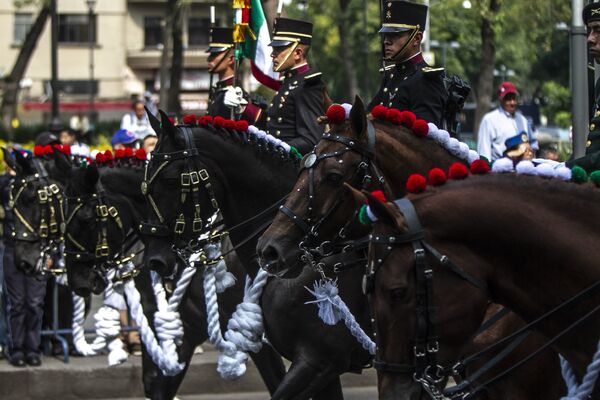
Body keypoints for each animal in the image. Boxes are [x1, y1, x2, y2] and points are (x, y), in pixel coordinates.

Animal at [55, 154, 288, 400]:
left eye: (86, 219)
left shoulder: (253, 337)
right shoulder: (186, 329)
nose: (77, 280)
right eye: (61, 215)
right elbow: (158, 386)